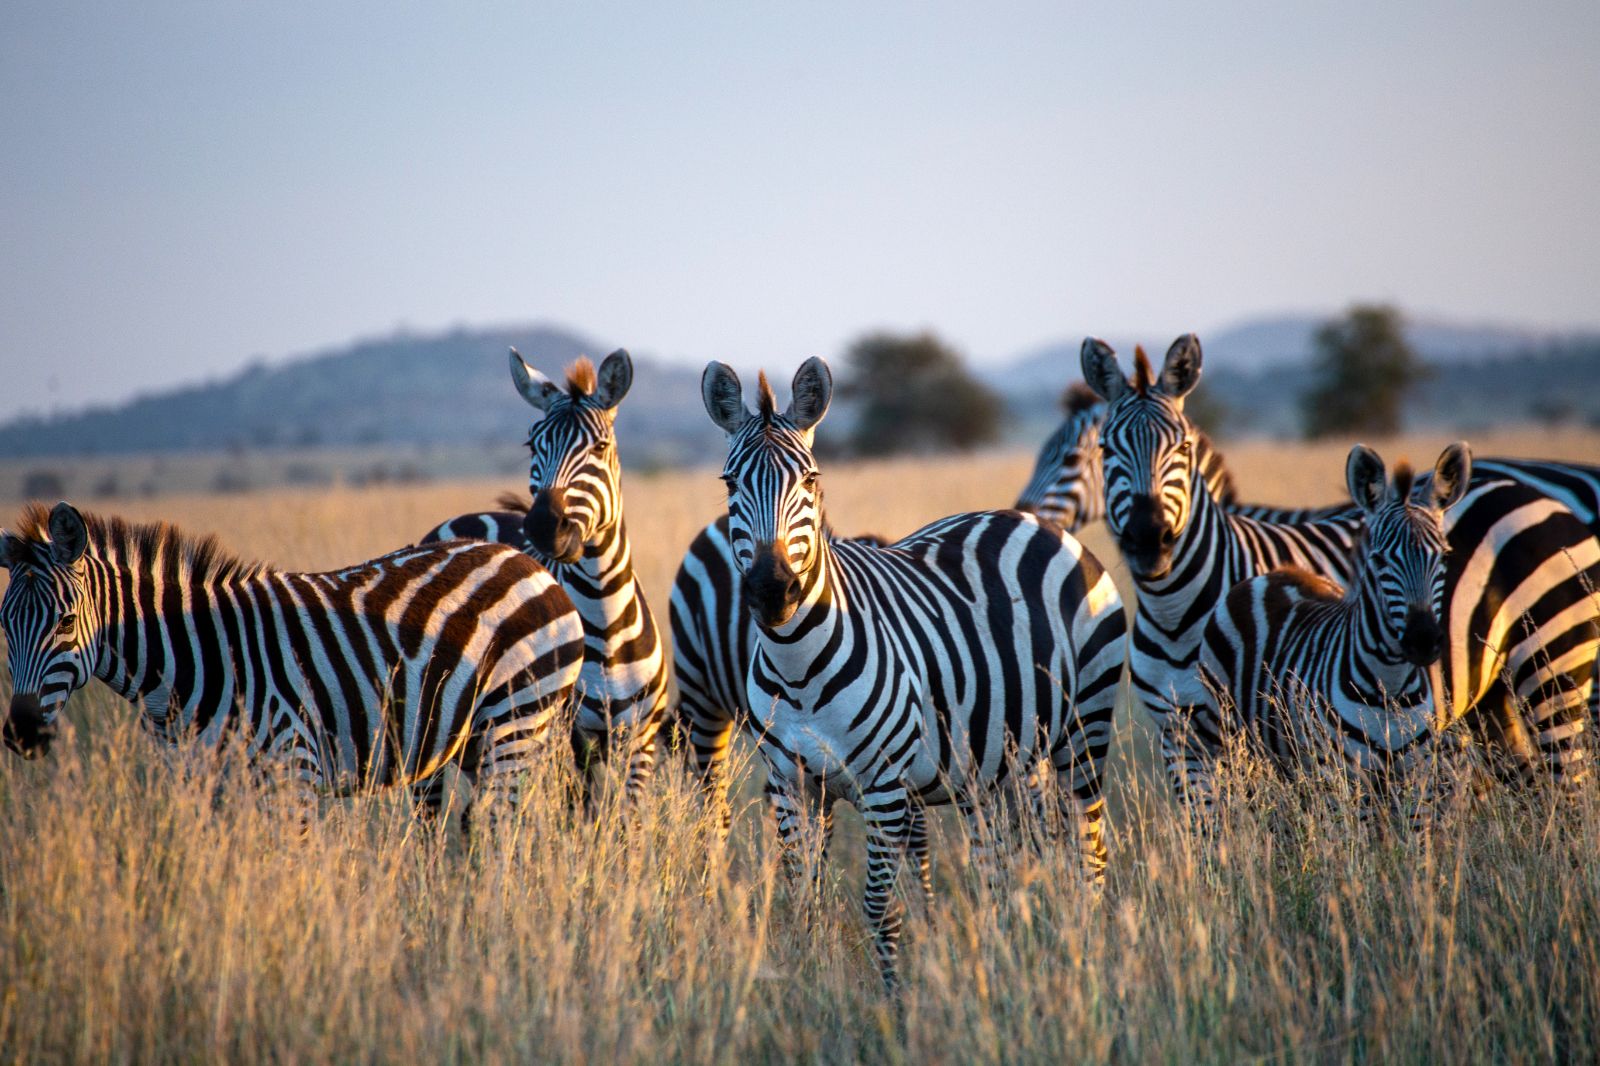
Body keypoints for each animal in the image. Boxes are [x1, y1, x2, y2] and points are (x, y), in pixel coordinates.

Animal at [1, 501, 585, 831]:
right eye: (2, 625)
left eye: (66, 621)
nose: (21, 732)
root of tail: (528, 561)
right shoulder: (200, 786)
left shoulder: (292, 771)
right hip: (471, 738)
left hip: (515, 720)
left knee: (505, 831)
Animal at [422, 348, 670, 806]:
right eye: (532, 444)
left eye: (600, 446)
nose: (542, 525)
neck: (605, 618)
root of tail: (469, 518)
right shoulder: (567, 742)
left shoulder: (640, 742)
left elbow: (626, 820)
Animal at [700, 356, 1127, 991]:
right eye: (730, 484)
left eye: (811, 481)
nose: (773, 591)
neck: (797, 666)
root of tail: (1039, 524)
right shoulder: (791, 785)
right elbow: (804, 901)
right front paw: (808, 986)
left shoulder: (882, 785)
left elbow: (880, 905)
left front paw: (894, 1000)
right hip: (1001, 763)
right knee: (1004, 866)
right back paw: (1005, 958)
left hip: (1084, 730)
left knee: (1087, 850)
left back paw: (1089, 954)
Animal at [1080, 334, 1600, 806]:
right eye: (1105, 450)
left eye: (1183, 449)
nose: (1149, 539)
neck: (1177, 613)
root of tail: (1536, 496)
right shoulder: (1180, 737)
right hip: (1492, 695)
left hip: (1553, 667)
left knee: (1568, 784)